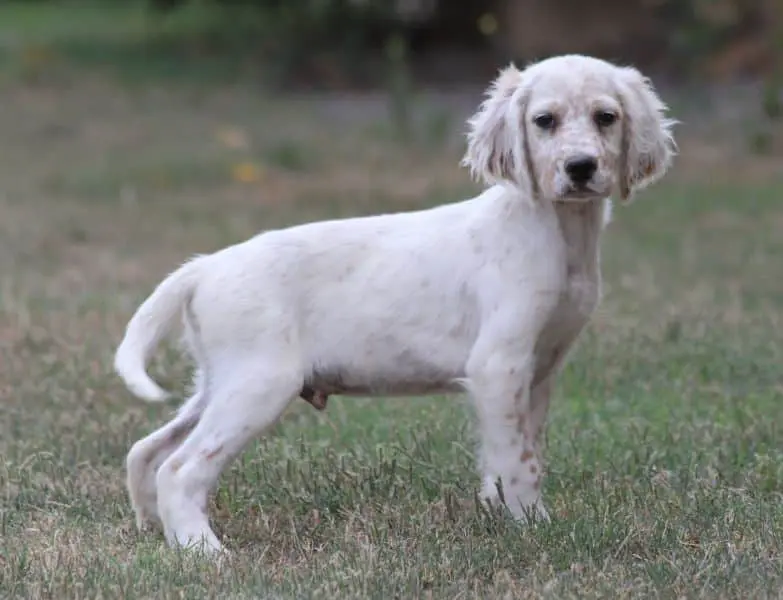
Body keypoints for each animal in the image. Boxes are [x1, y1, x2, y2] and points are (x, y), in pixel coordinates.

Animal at [115, 54, 676, 554]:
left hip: (219, 383)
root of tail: (203, 266)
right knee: (180, 469)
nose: (580, 167)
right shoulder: (499, 365)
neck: (556, 231)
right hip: (258, 384)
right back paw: (202, 549)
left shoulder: (540, 370)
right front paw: (533, 527)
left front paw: (503, 513)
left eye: (606, 117)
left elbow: (519, 454)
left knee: (146, 451)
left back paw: (155, 532)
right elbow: (518, 462)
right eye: (545, 121)